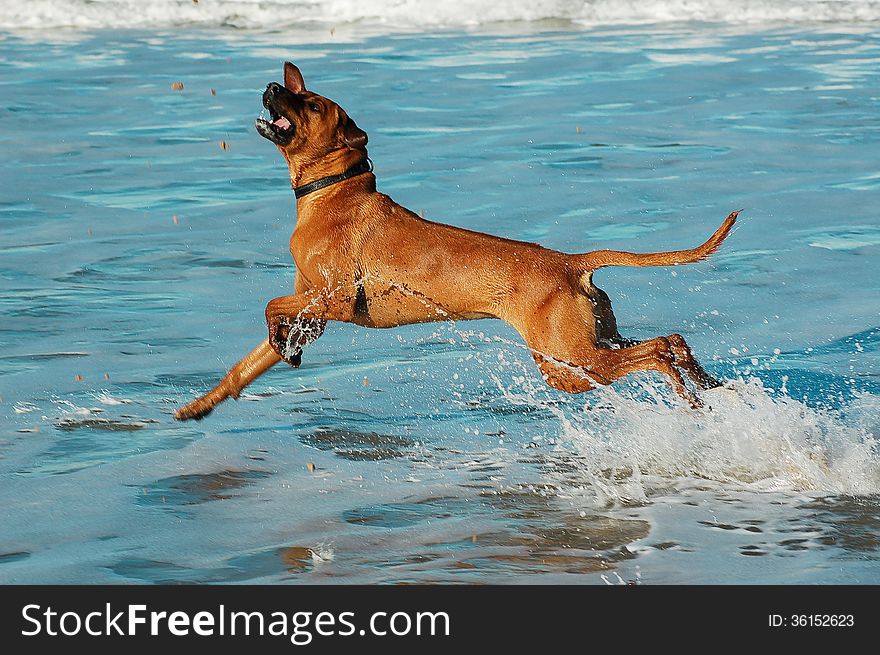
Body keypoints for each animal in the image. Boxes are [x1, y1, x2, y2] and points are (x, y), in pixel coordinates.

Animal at [174, 61, 736, 420]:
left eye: (309, 104)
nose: (271, 84)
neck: (333, 191)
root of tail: (573, 262)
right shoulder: (314, 306)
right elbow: (242, 368)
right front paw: (200, 405)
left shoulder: (333, 298)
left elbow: (271, 306)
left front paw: (279, 337)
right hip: (590, 341)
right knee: (673, 341)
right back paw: (709, 387)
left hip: (568, 360)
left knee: (657, 351)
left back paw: (690, 396)